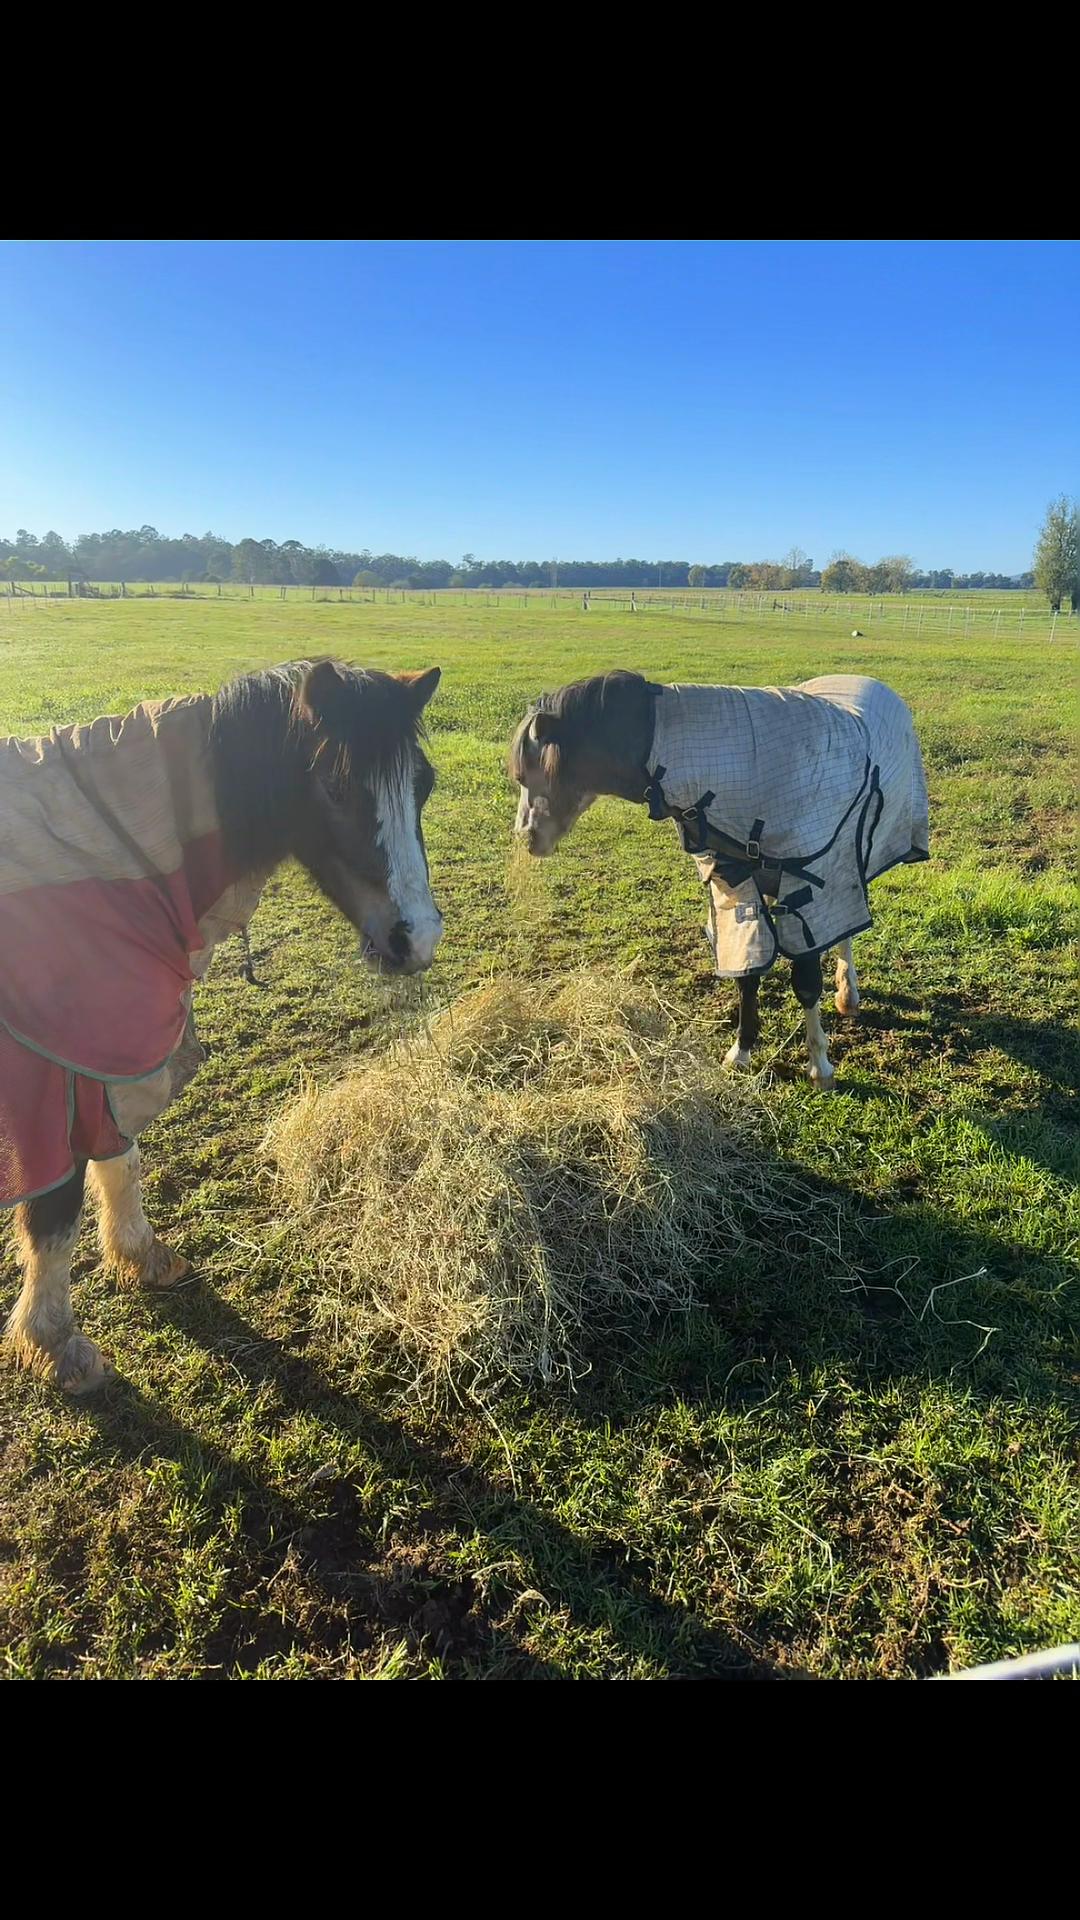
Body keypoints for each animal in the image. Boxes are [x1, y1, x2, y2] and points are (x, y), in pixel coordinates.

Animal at [2, 658, 442, 1392]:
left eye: (425, 785)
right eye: (334, 788)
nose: (419, 939)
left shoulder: (110, 1053)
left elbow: (120, 1157)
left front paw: (141, 1255)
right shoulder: (54, 1072)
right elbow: (54, 1213)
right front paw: (56, 1342)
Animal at [509, 668, 929, 1087]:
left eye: (530, 772)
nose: (526, 838)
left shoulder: (814, 881)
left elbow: (807, 981)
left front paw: (819, 1065)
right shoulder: (736, 886)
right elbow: (747, 971)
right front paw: (741, 1051)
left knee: (845, 934)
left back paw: (847, 993)